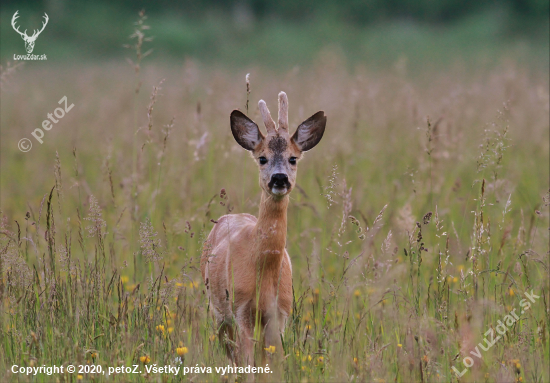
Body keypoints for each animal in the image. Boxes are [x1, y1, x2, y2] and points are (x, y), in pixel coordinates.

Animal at [201, 92, 326, 366]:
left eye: (293, 158)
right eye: (262, 158)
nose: (279, 178)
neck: (263, 272)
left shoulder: (280, 313)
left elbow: (271, 361)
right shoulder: (240, 308)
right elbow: (247, 360)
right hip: (217, 308)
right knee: (229, 351)